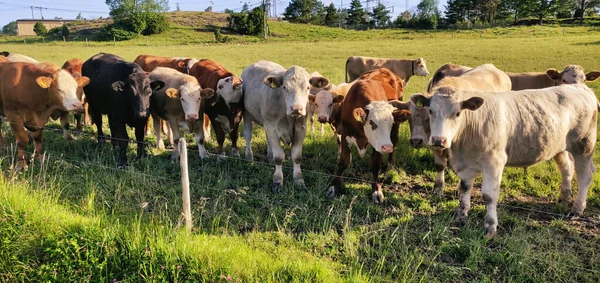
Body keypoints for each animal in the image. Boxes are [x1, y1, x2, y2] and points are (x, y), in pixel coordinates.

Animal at [326, 67, 410, 203]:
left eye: (391, 122)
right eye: (372, 122)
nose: (387, 147)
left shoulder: (378, 145)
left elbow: (375, 165)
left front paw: (376, 190)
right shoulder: (345, 136)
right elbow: (343, 162)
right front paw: (334, 187)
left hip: (394, 133)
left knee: (394, 142)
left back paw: (391, 165)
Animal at [408, 63, 510, 195]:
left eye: (457, 113)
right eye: (430, 111)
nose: (439, 140)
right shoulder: (434, 143)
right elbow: (440, 165)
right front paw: (438, 188)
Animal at [412, 84, 600, 237]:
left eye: (457, 113)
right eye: (431, 111)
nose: (439, 140)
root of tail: (580, 87)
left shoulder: (494, 162)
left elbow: (489, 196)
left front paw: (490, 226)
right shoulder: (465, 164)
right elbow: (464, 187)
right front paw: (461, 213)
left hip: (584, 146)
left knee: (584, 175)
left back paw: (577, 208)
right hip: (559, 147)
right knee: (566, 168)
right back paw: (563, 198)